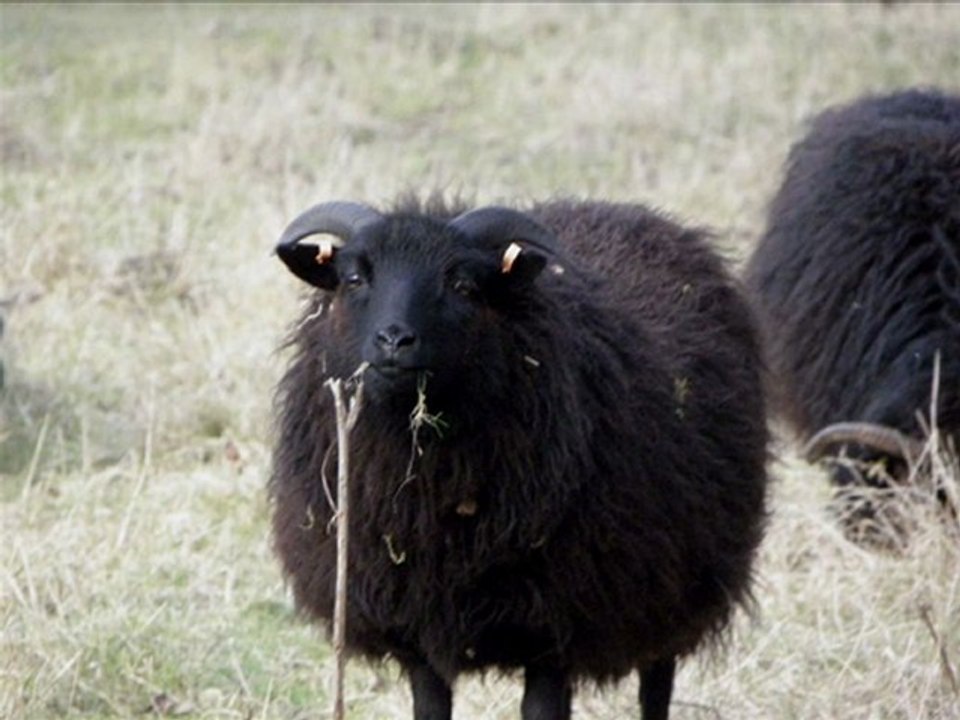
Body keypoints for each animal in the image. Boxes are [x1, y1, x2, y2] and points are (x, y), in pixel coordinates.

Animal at [270, 196, 770, 720]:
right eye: (354, 278)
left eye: (463, 284)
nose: (394, 341)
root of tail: (631, 212)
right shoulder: (418, 628)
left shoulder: (554, 630)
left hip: (674, 590)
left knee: (657, 685)